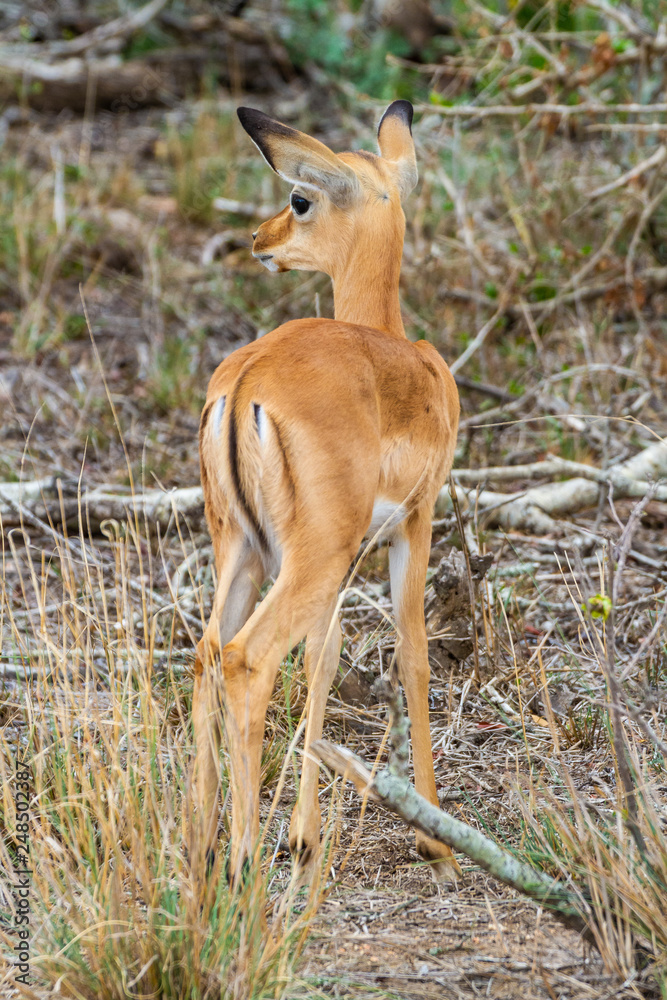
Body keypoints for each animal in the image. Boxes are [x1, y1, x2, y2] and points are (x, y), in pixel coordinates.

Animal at [193, 100, 460, 883]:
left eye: (299, 198)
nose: (260, 239)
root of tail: (247, 380)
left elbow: (324, 656)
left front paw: (306, 835)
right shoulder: (414, 520)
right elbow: (411, 654)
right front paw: (435, 840)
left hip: (246, 551)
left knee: (206, 654)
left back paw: (200, 841)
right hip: (310, 556)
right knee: (246, 659)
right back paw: (243, 859)